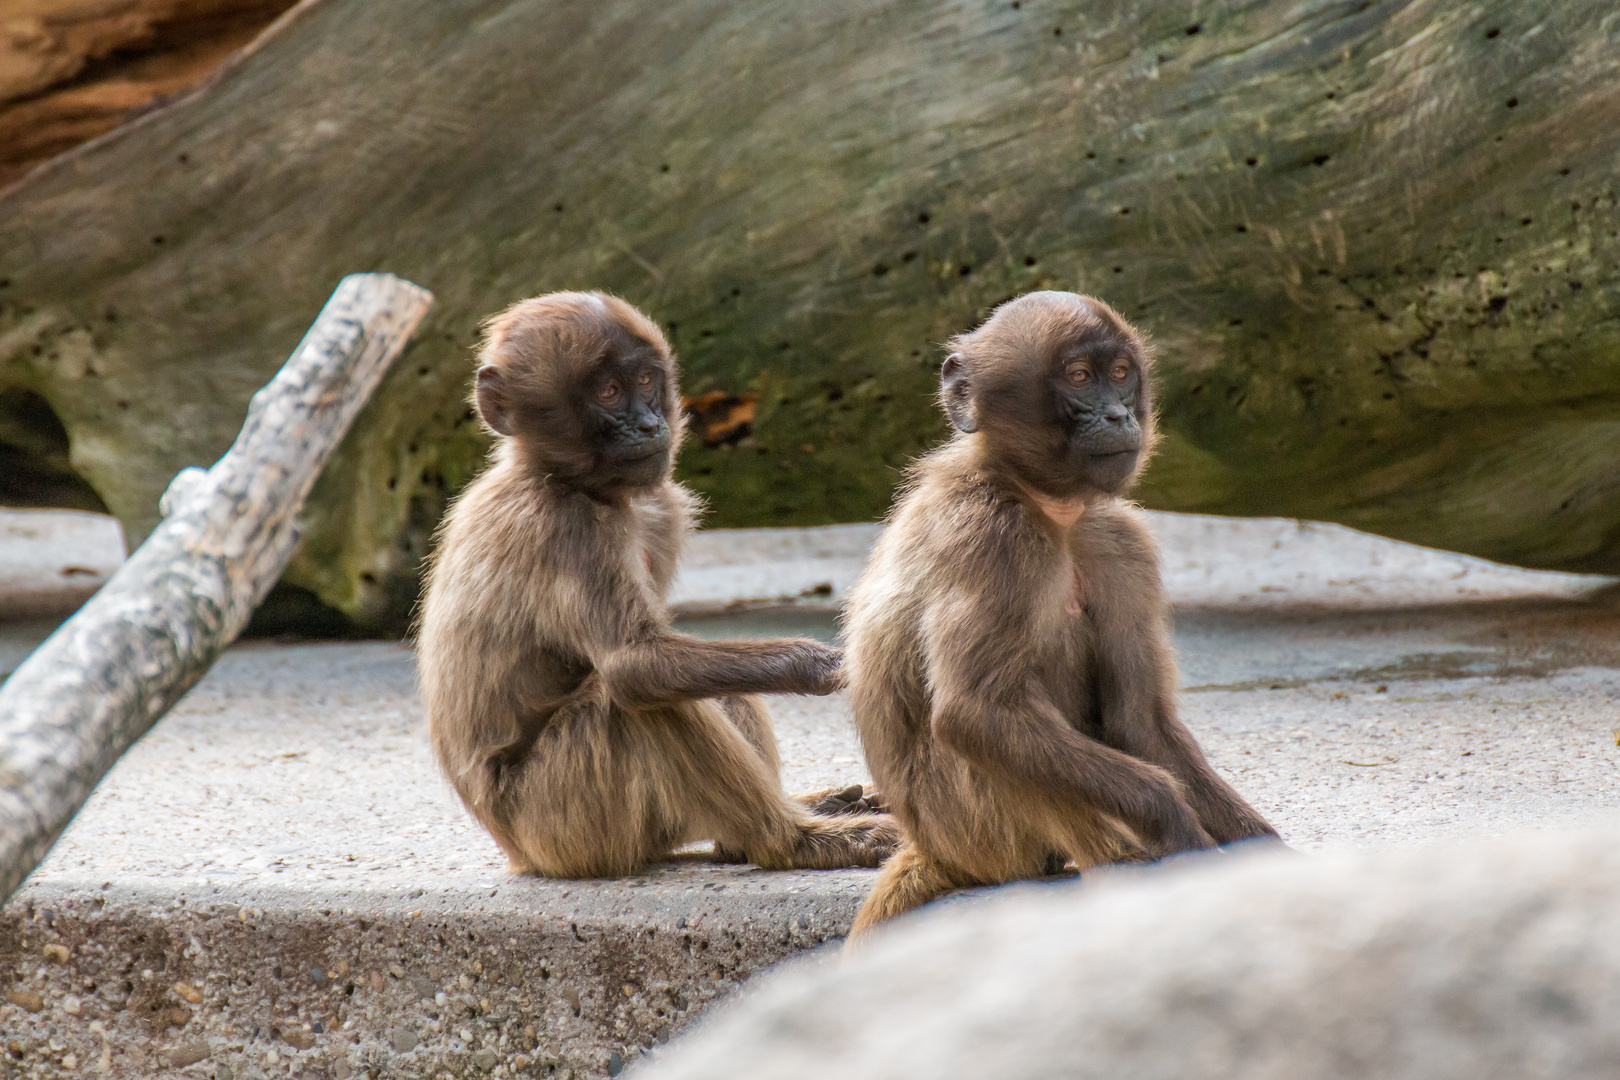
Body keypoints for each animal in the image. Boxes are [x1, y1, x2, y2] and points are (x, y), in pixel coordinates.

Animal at [417, 289, 900, 880]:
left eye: (646, 380)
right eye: (608, 391)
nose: (648, 426)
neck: (563, 480)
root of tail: (516, 851)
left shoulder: (659, 508)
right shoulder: (567, 529)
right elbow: (635, 665)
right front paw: (818, 665)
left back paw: (758, 834)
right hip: (562, 822)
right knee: (633, 697)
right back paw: (792, 841)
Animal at [848, 291, 1276, 939]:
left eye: (1120, 374)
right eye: (1078, 378)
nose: (1119, 416)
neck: (1045, 505)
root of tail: (935, 847)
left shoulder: (1119, 540)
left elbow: (1139, 722)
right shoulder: (991, 536)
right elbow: (977, 713)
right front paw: (1176, 826)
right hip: (976, 831)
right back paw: (1125, 869)